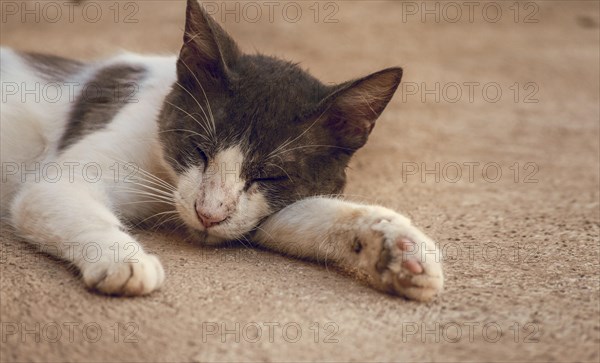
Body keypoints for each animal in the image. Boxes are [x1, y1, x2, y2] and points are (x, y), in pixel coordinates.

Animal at [0, 0, 440, 302]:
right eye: (198, 149)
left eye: (269, 175)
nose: (208, 214)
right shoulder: (82, 160)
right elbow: (54, 194)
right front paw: (123, 259)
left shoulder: (260, 210)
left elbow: (302, 217)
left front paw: (400, 248)